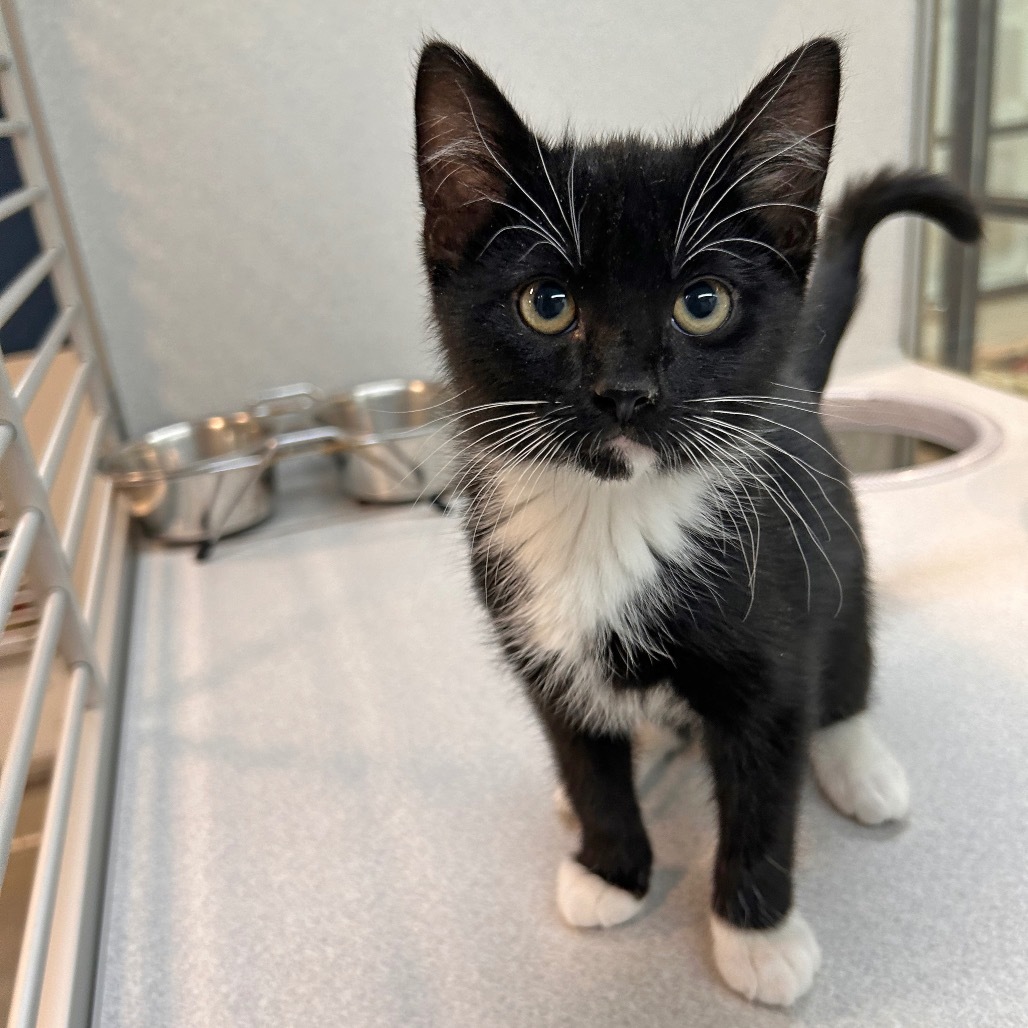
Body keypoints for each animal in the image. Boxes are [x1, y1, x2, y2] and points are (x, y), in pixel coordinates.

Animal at [411, 38, 978, 1003]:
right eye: (547, 304)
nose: (626, 392)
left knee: (846, 668)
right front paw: (608, 868)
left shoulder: (772, 633)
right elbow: (583, 759)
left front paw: (758, 936)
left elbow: (762, 795)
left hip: (837, 550)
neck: (612, 513)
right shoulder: (535, 636)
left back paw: (857, 763)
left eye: (702, 303)